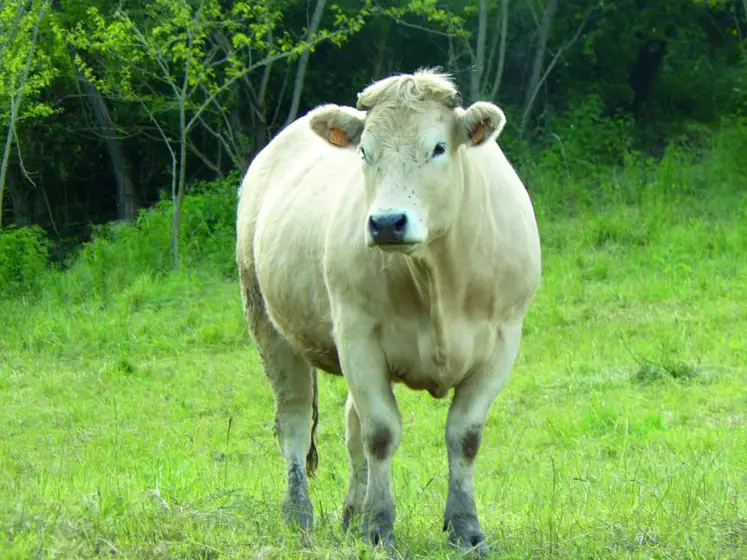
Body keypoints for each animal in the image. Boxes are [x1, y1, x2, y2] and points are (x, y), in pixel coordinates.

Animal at [237, 69, 540, 552]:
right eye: (365, 151)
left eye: (438, 147)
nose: (386, 223)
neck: (437, 277)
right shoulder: (358, 337)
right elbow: (381, 433)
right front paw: (378, 527)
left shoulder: (502, 341)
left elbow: (464, 436)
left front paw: (466, 527)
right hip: (267, 322)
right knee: (295, 422)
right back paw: (299, 516)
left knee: (350, 427)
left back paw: (350, 514)